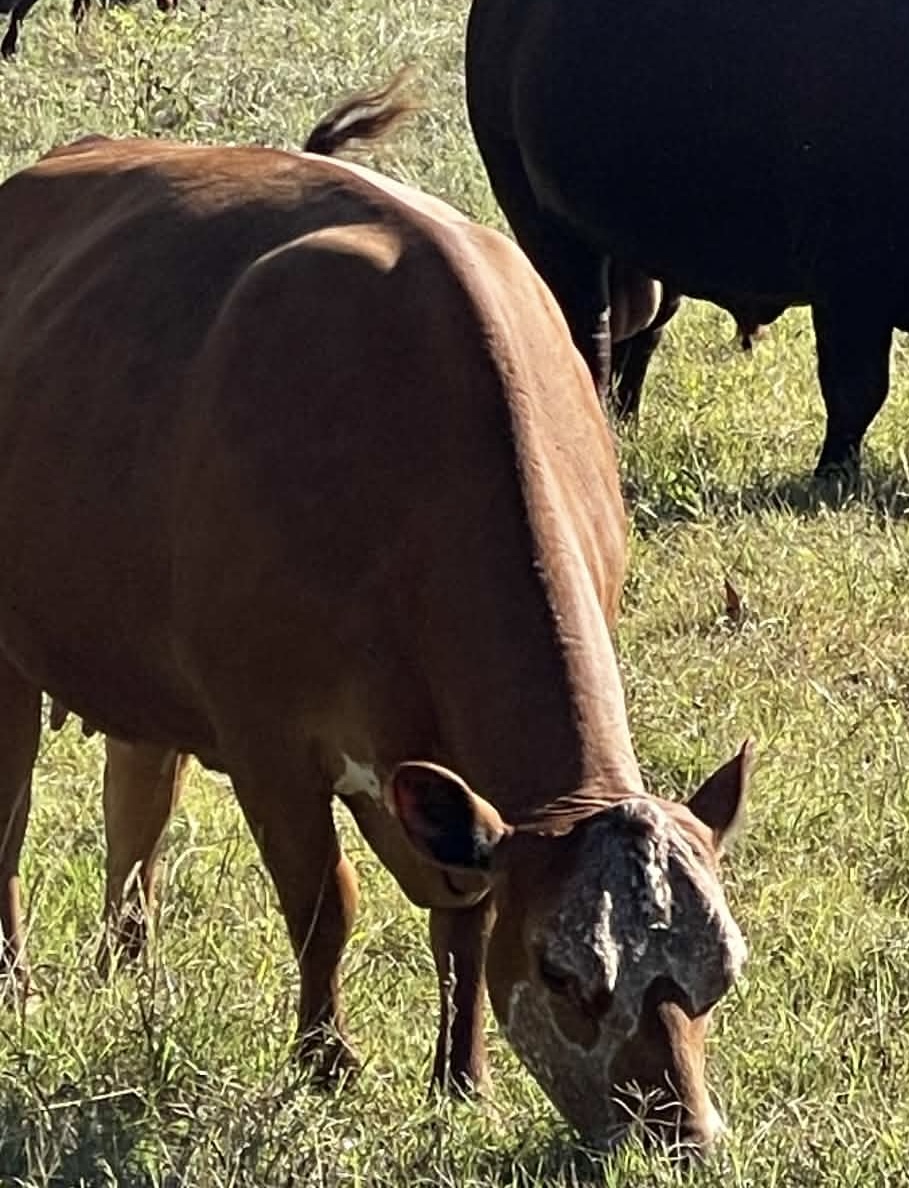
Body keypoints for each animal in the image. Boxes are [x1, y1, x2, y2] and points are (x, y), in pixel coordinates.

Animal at [0, 78, 750, 1155]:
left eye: (719, 972)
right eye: (565, 975)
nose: (682, 1135)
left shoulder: (446, 792)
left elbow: (464, 918)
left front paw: (460, 1078)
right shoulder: (268, 741)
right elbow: (324, 903)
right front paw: (325, 1067)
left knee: (135, 806)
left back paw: (127, 975)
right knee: (10, 817)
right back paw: (17, 983)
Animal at [465, 0, 907, 472]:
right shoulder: (848, 288)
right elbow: (855, 392)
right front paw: (833, 474)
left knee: (638, 341)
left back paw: (625, 428)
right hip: (543, 222)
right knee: (587, 341)